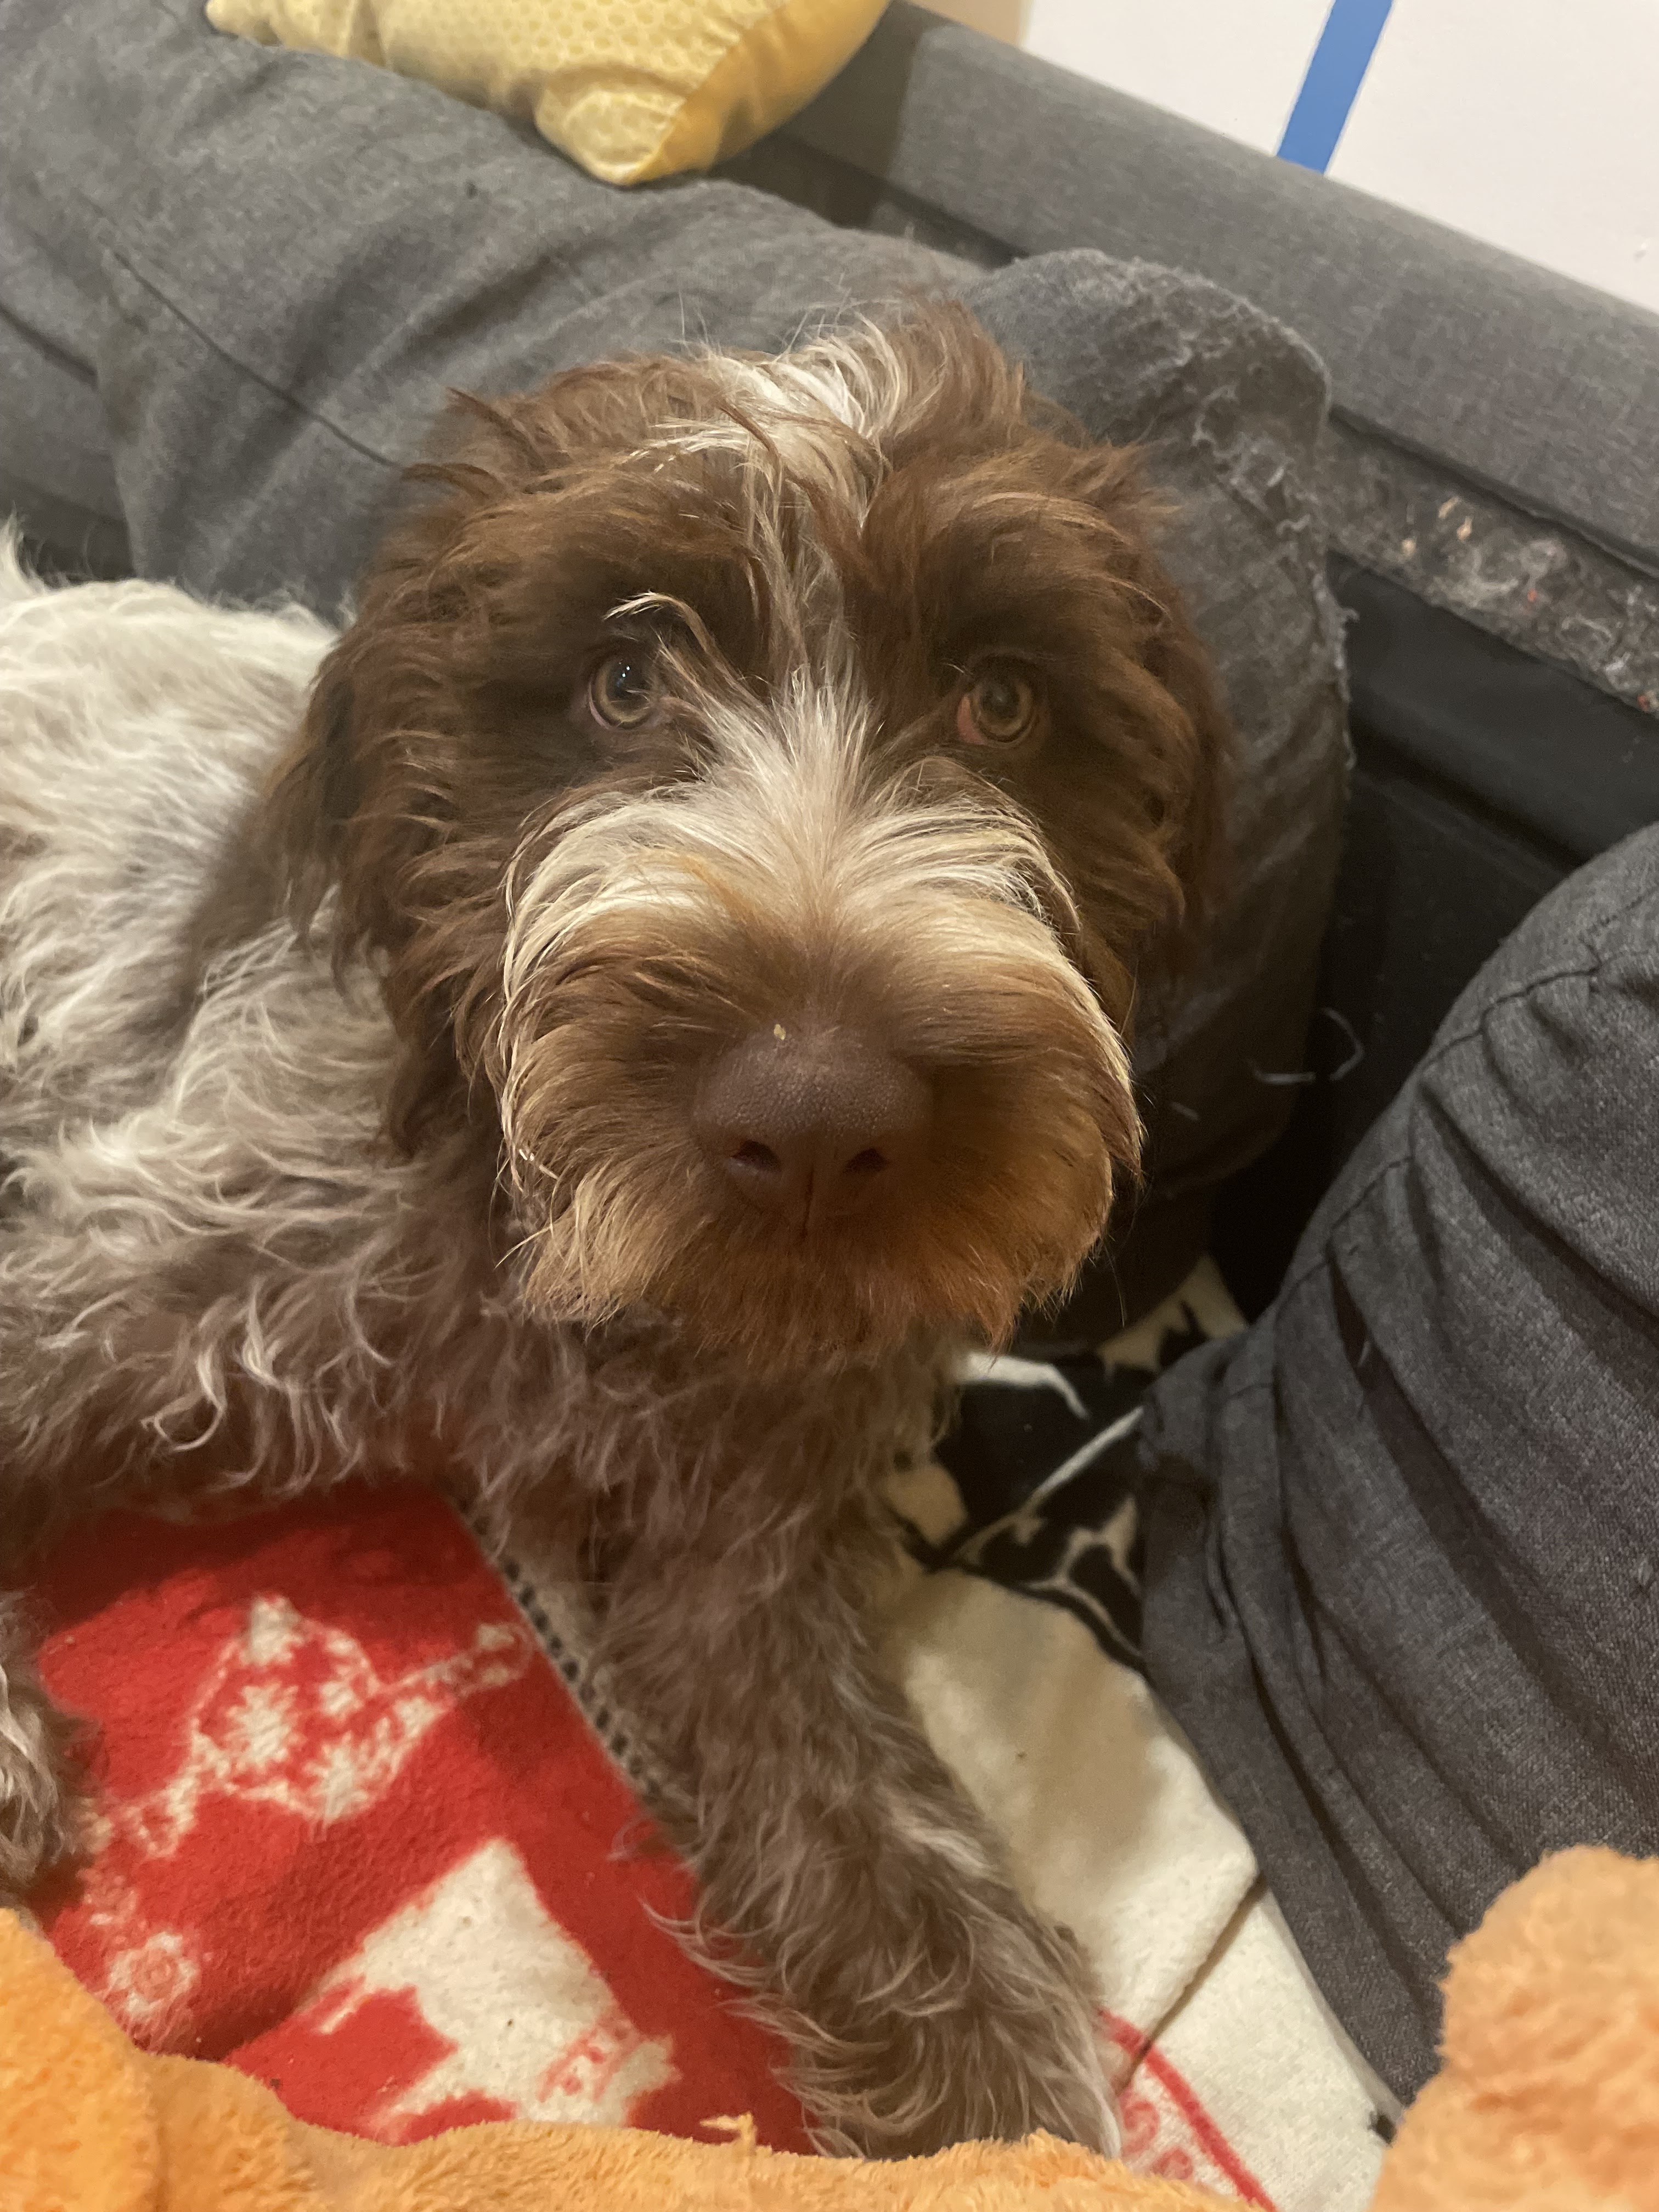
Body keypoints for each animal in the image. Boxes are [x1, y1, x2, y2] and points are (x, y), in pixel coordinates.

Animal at [0, 304, 1227, 2156]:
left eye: (1003, 700)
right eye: (625, 686)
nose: (818, 1120)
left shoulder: (739, 1565)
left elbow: (896, 1850)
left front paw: (1003, 2125)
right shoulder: (110, 1266)